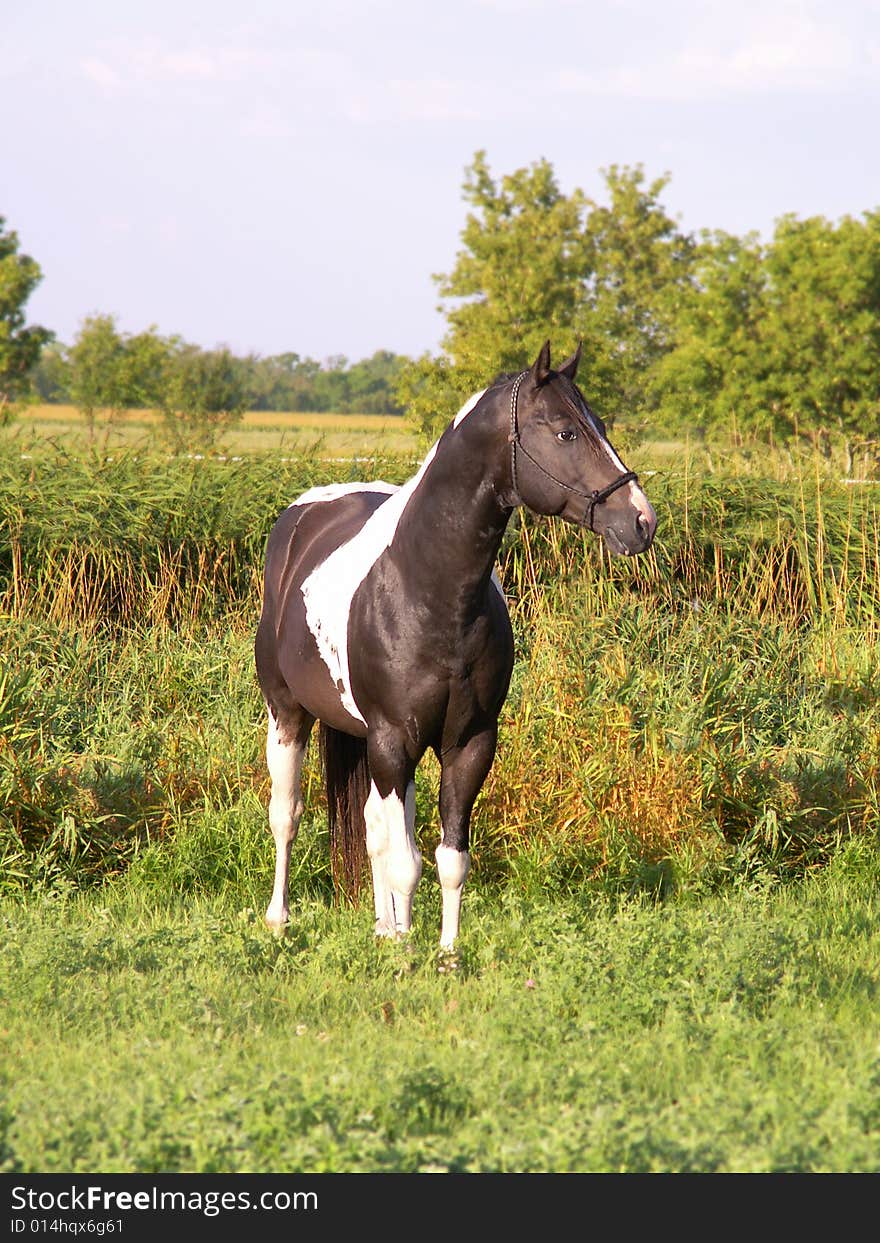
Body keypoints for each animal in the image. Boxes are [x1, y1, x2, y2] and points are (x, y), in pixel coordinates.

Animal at [252, 340, 651, 949]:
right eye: (565, 432)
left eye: (601, 426)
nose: (640, 521)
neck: (428, 590)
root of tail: (300, 519)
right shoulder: (393, 739)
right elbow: (406, 861)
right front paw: (405, 950)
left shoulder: (467, 743)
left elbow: (447, 859)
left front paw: (442, 950)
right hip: (290, 713)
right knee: (288, 814)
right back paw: (281, 919)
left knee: (373, 825)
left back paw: (383, 925)